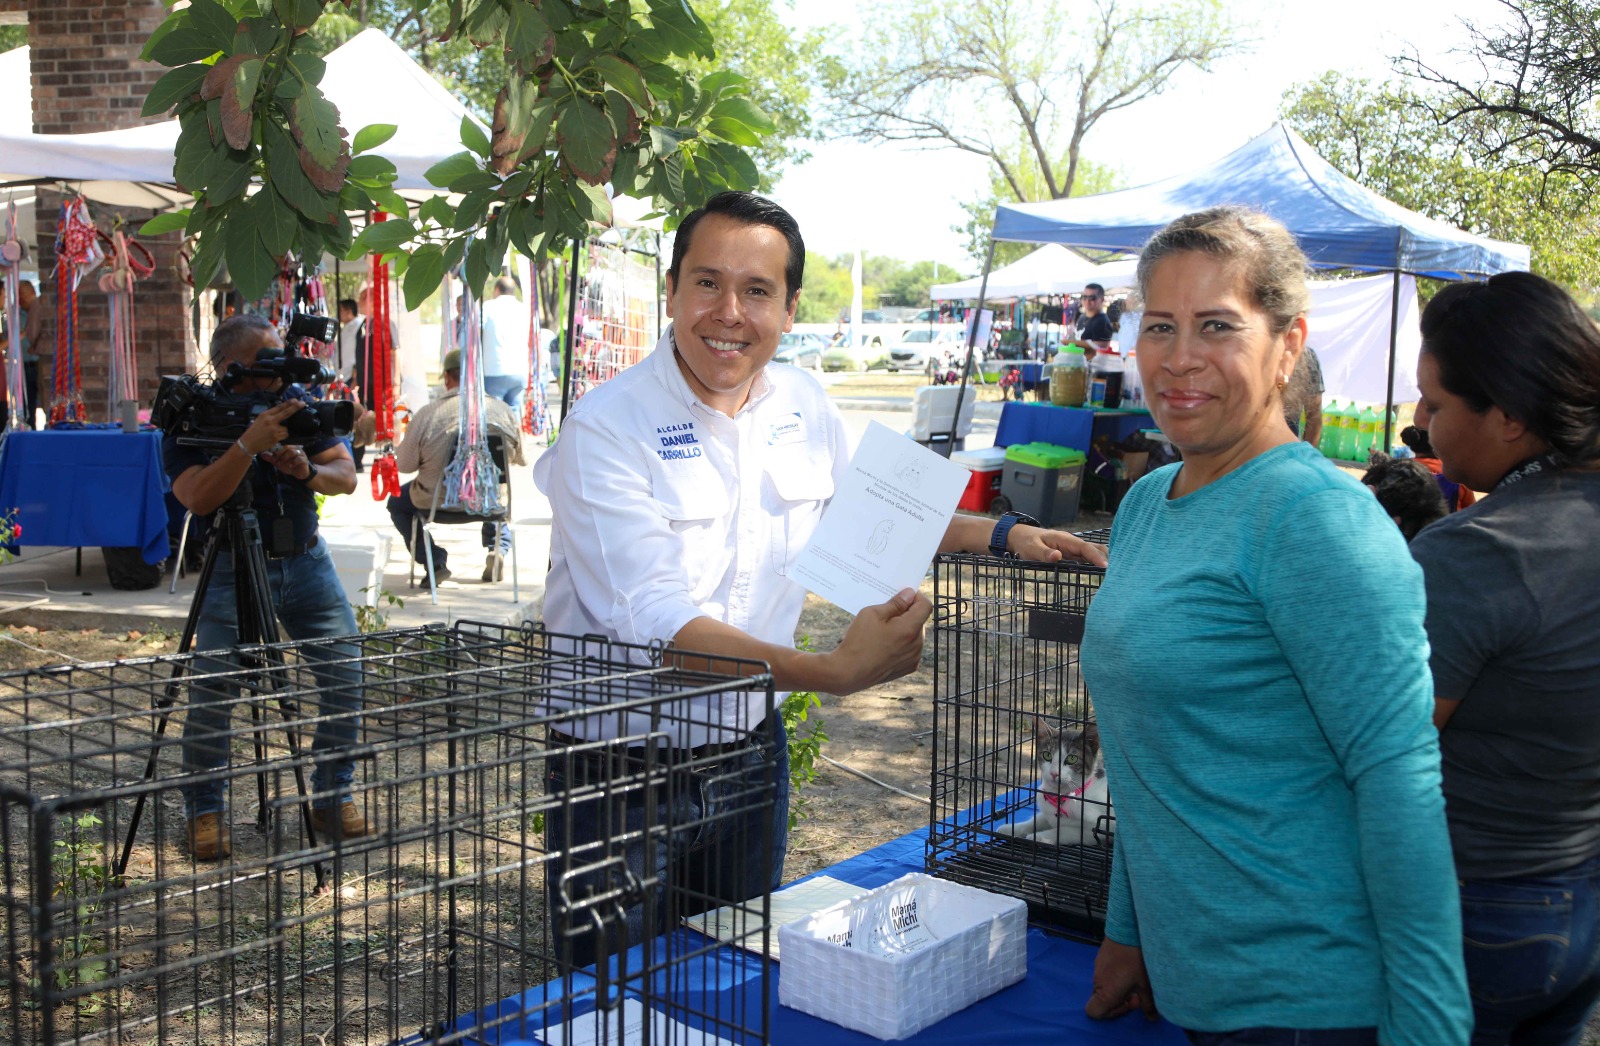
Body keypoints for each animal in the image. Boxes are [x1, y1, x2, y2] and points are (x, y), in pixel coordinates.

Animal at [992, 716, 1107, 850]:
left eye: (1072, 758)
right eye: (1047, 755)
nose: (1054, 773)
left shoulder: (1099, 829)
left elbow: (1066, 831)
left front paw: (1039, 837)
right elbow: (1037, 820)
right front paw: (1011, 828)